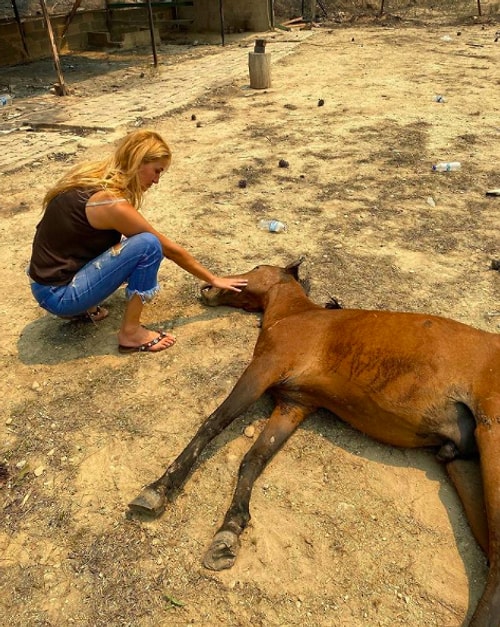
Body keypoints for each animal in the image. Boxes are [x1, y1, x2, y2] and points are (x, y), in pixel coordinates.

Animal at [131, 260, 500, 627]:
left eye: (256, 266)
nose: (207, 288)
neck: (296, 316)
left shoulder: (263, 370)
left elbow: (213, 424)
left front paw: (157, 490)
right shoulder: (294, 404)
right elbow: (254, 458)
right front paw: (229, 532)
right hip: (464, 468)